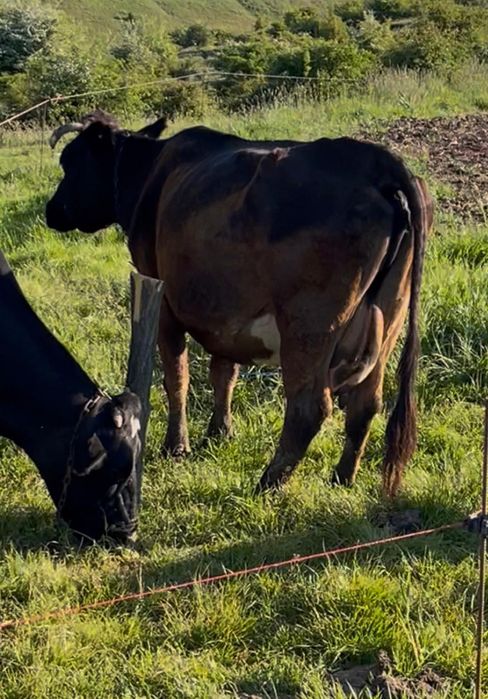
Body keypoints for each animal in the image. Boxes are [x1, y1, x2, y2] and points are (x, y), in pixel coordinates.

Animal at [45, 111, 433, 497]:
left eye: (70, 161)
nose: (51, 210)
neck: (151, 174)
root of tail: (373, 158)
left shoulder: (162, 299)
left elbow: (177, 377)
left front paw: (177, 446)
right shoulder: (227, 314)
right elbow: (224, 372)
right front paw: (219, 433)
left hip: (309, 325)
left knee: (309, 407)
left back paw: (268, 482)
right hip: (389, 317)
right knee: (366, 403)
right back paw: (342, 477)